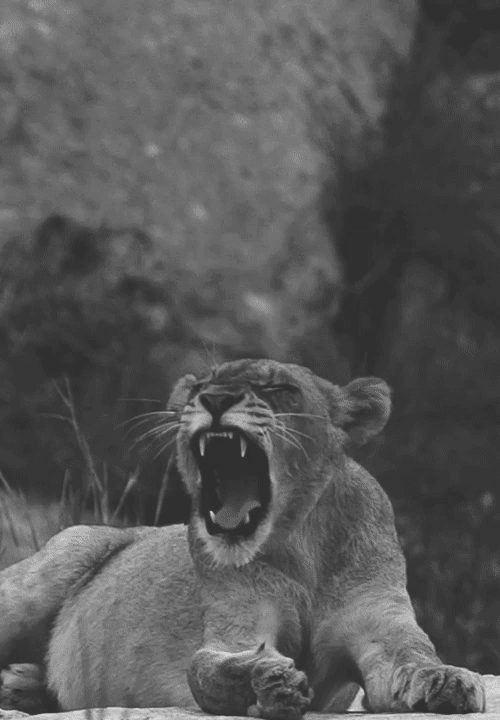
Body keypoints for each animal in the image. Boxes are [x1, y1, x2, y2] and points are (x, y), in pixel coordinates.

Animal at [0, 359, 486, 717]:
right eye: (201, 385)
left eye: (278, 387)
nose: (214, 398)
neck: (299, 544)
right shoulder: (238, 623)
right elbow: (206, 667)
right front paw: (264, 680)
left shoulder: (379, 624)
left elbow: (413, 655)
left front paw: (445, 680)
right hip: (54, 563)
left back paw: (22, 684)